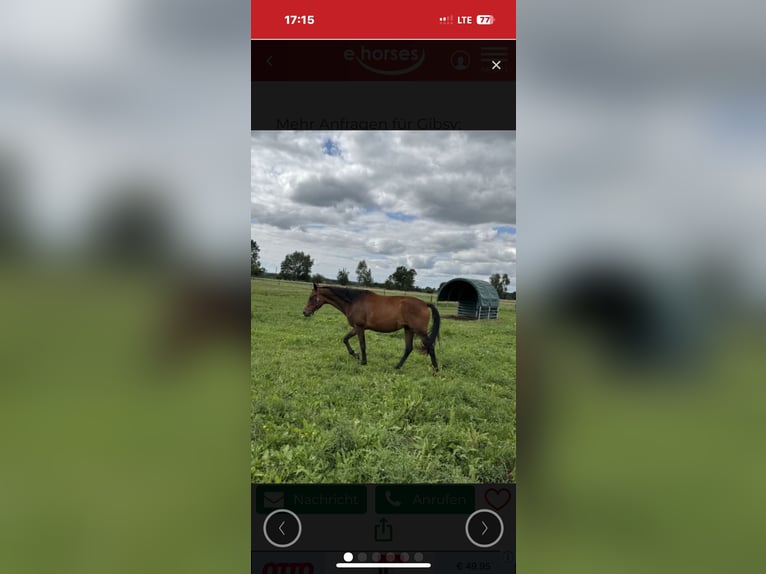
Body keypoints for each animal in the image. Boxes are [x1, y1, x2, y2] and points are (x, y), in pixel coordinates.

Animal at [302, 283, 441, 372]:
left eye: (312, 297)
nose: (305, 312)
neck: (353, 301)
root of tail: (425, 304)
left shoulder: (359, 328)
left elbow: (362, 345)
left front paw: (362, 361)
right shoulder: (356, 328)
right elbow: (345, 339)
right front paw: (355, 355)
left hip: (420, 331)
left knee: (430, 347)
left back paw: (436, 369)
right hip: (408, 330)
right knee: (408, 348)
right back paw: (397, 367)